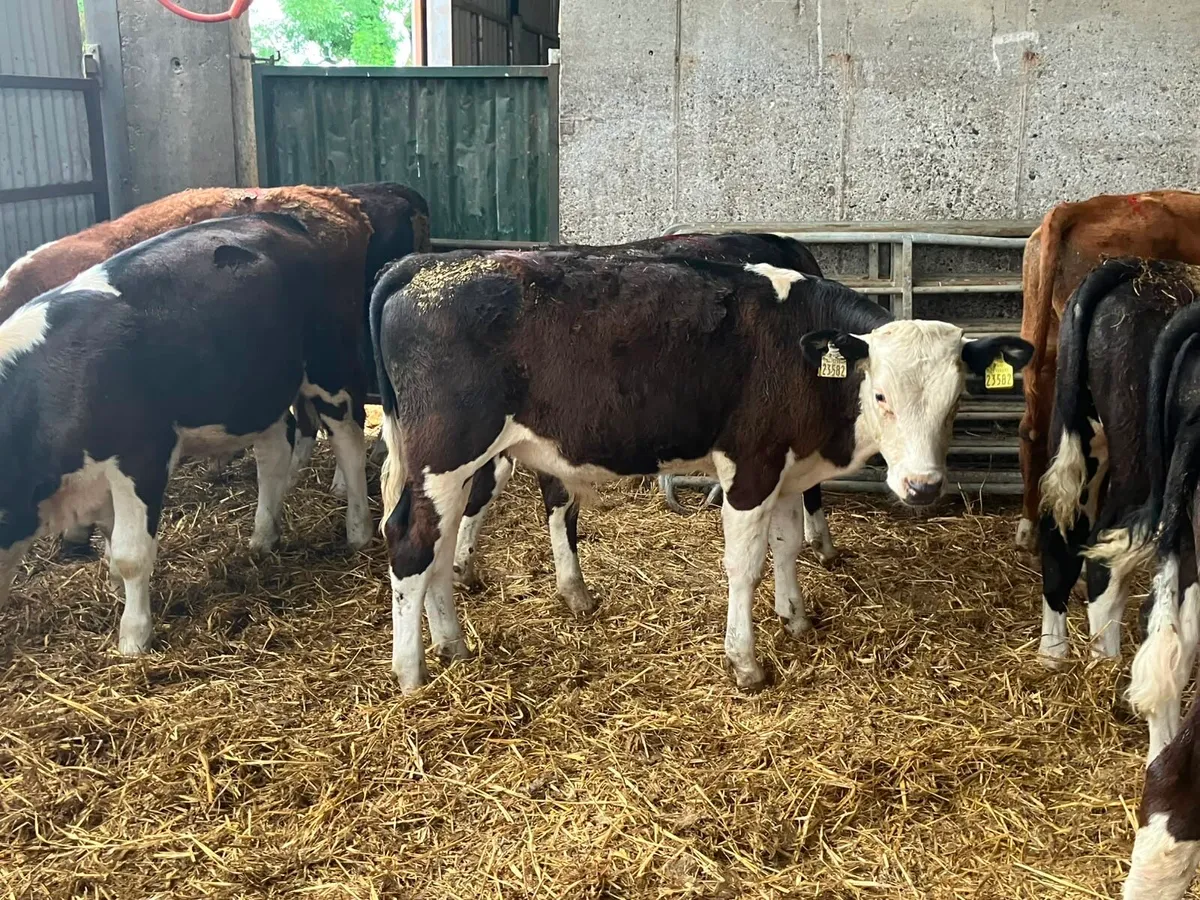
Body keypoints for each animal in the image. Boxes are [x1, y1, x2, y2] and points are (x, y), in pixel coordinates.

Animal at [0, 212, 373, 656]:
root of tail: (275, 217)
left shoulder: (142, 455)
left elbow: (130, 553)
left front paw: (134, 636)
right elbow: (111, 541)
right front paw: (116, 590)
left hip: (327, 364)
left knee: (348, 440)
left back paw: (358, 530)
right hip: (257, 388)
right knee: (274, 452)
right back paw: (262, 537)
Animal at [370, 250, 1033, 692]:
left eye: (956, 399)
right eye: (881, 395)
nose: (923, 486)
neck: (798, 348)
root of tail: (423, 266)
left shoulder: (788, 468)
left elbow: (788, 545)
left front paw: (795, 618)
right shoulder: (750, 464)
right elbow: (745, 564)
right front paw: (746, 662)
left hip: (451, 467)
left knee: (439, 547)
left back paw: (452, 644)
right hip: (447, 452)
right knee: (411, 543)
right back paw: (412, 672)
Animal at [1035, 259, 1199, 670]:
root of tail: (1137, 269)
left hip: (1078, 429)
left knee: (1062, 536)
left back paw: (1053, 655)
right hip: (1140, 461)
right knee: (1104, 558)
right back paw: (1106, 665)